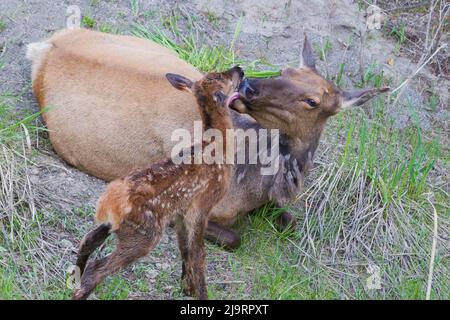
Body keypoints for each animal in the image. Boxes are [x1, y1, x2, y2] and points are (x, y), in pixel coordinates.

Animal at [26, 28, 388, 250]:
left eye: (312, 100)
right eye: (285, 70)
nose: (248, 86)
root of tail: (46, 46)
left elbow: (289, 221)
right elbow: (234, 238)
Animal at [72, 67, 244, 300]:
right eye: (222, 76)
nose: (240, 69)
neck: (217, 149)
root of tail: (110, 200)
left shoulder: (180, 213)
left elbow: (185, 251)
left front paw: (187, 289)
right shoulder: (201, 207)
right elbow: (199, 256)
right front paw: (200, 294)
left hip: (113, 225)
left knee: (87, 241)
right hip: (144, 234)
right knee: (96, 269)